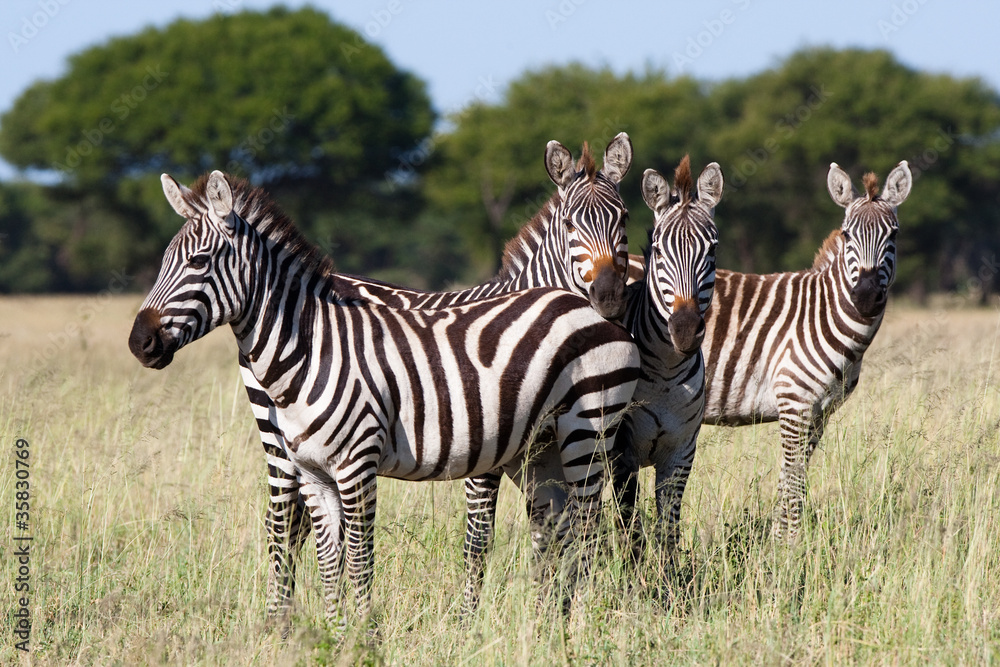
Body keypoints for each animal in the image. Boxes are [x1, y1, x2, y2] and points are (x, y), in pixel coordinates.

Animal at [128, 170, 640, 625]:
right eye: (164, 261)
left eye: (198, 261)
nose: (139, 343)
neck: (312, 348)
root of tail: (587, 309)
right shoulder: (315, 472)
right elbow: (329, 561)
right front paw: (336, 636)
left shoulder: (358, 466)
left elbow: (361, 559)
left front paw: (365, 636)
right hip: (545, 445)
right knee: (563, 528)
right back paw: (550, 628)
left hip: (587, 430)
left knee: (589, 531)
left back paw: (581, 627)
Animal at [611, 156, 722, 561]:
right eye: (659, 250)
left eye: (712, 250)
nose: (686, 331)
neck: (665, 372)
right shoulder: (622, 454)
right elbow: (630, 527)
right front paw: (634, 572)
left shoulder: (680, 453)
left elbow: (669, 529)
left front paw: (670, 574)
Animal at [699, 160, 912, 538]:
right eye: (847, 235)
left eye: (894, 235)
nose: (866, 296)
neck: (823, 314)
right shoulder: (793, 402)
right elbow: (794, 476)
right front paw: (790, 546)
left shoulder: (818, 412)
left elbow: (791, 478)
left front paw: (780, 541)